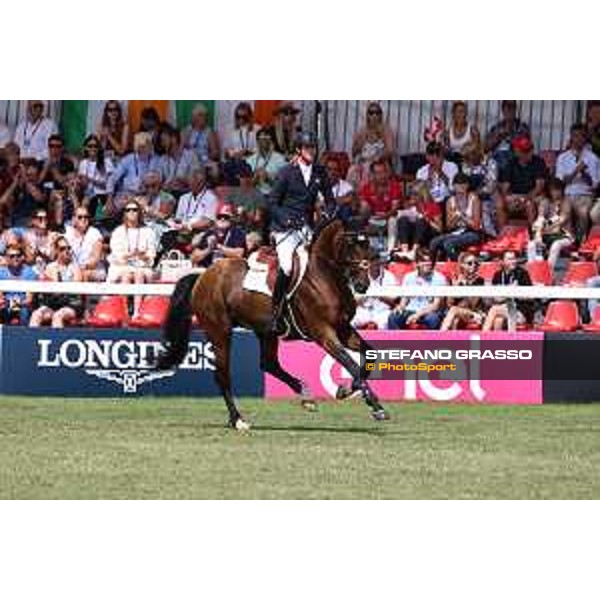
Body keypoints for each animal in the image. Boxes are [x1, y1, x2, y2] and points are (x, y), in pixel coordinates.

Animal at [157, 218, 390, 428]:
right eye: (350, 244)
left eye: (368, 244)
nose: (362, 285)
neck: (324, 275)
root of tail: (203, 275)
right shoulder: (323, 333)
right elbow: (349, 362)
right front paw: (374, 405)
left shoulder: (343, 329)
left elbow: (369, 355)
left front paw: (348, 391)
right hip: (219, 331)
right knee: (222, 374)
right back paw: (238, 420)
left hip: (265, 332)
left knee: (268, 363)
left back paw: (305, 396)